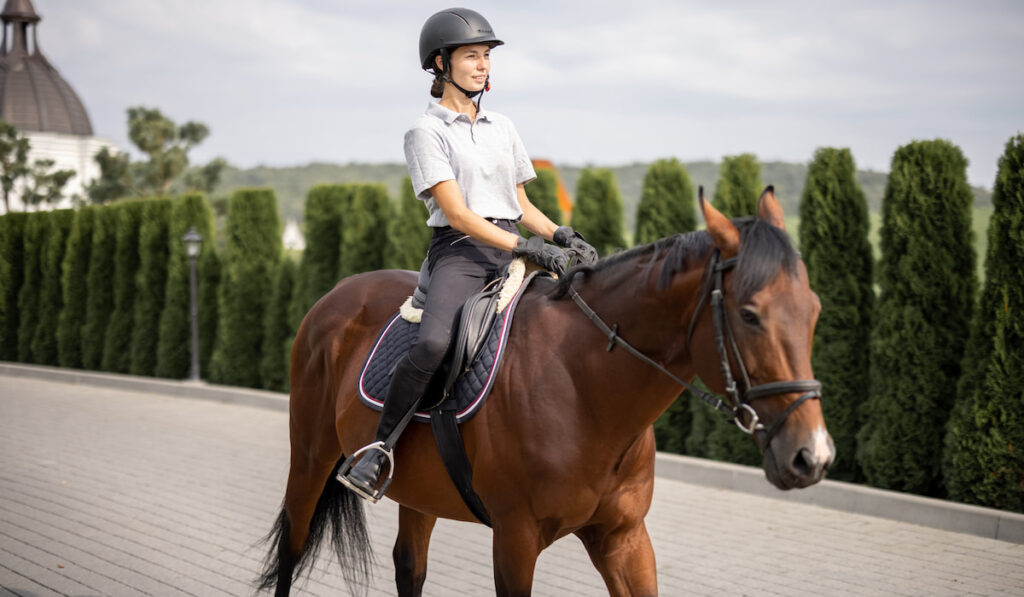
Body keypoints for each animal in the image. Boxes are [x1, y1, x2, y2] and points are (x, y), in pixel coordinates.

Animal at [256, 189, 831, 593]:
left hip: (418, 489)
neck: (585, 390)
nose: (813, 457)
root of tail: (334, 295)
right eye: (750, 315)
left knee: (409, 567)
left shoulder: (624, 539)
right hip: (311, 457)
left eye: (813, 309)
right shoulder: (515, 540)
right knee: (292, 547)